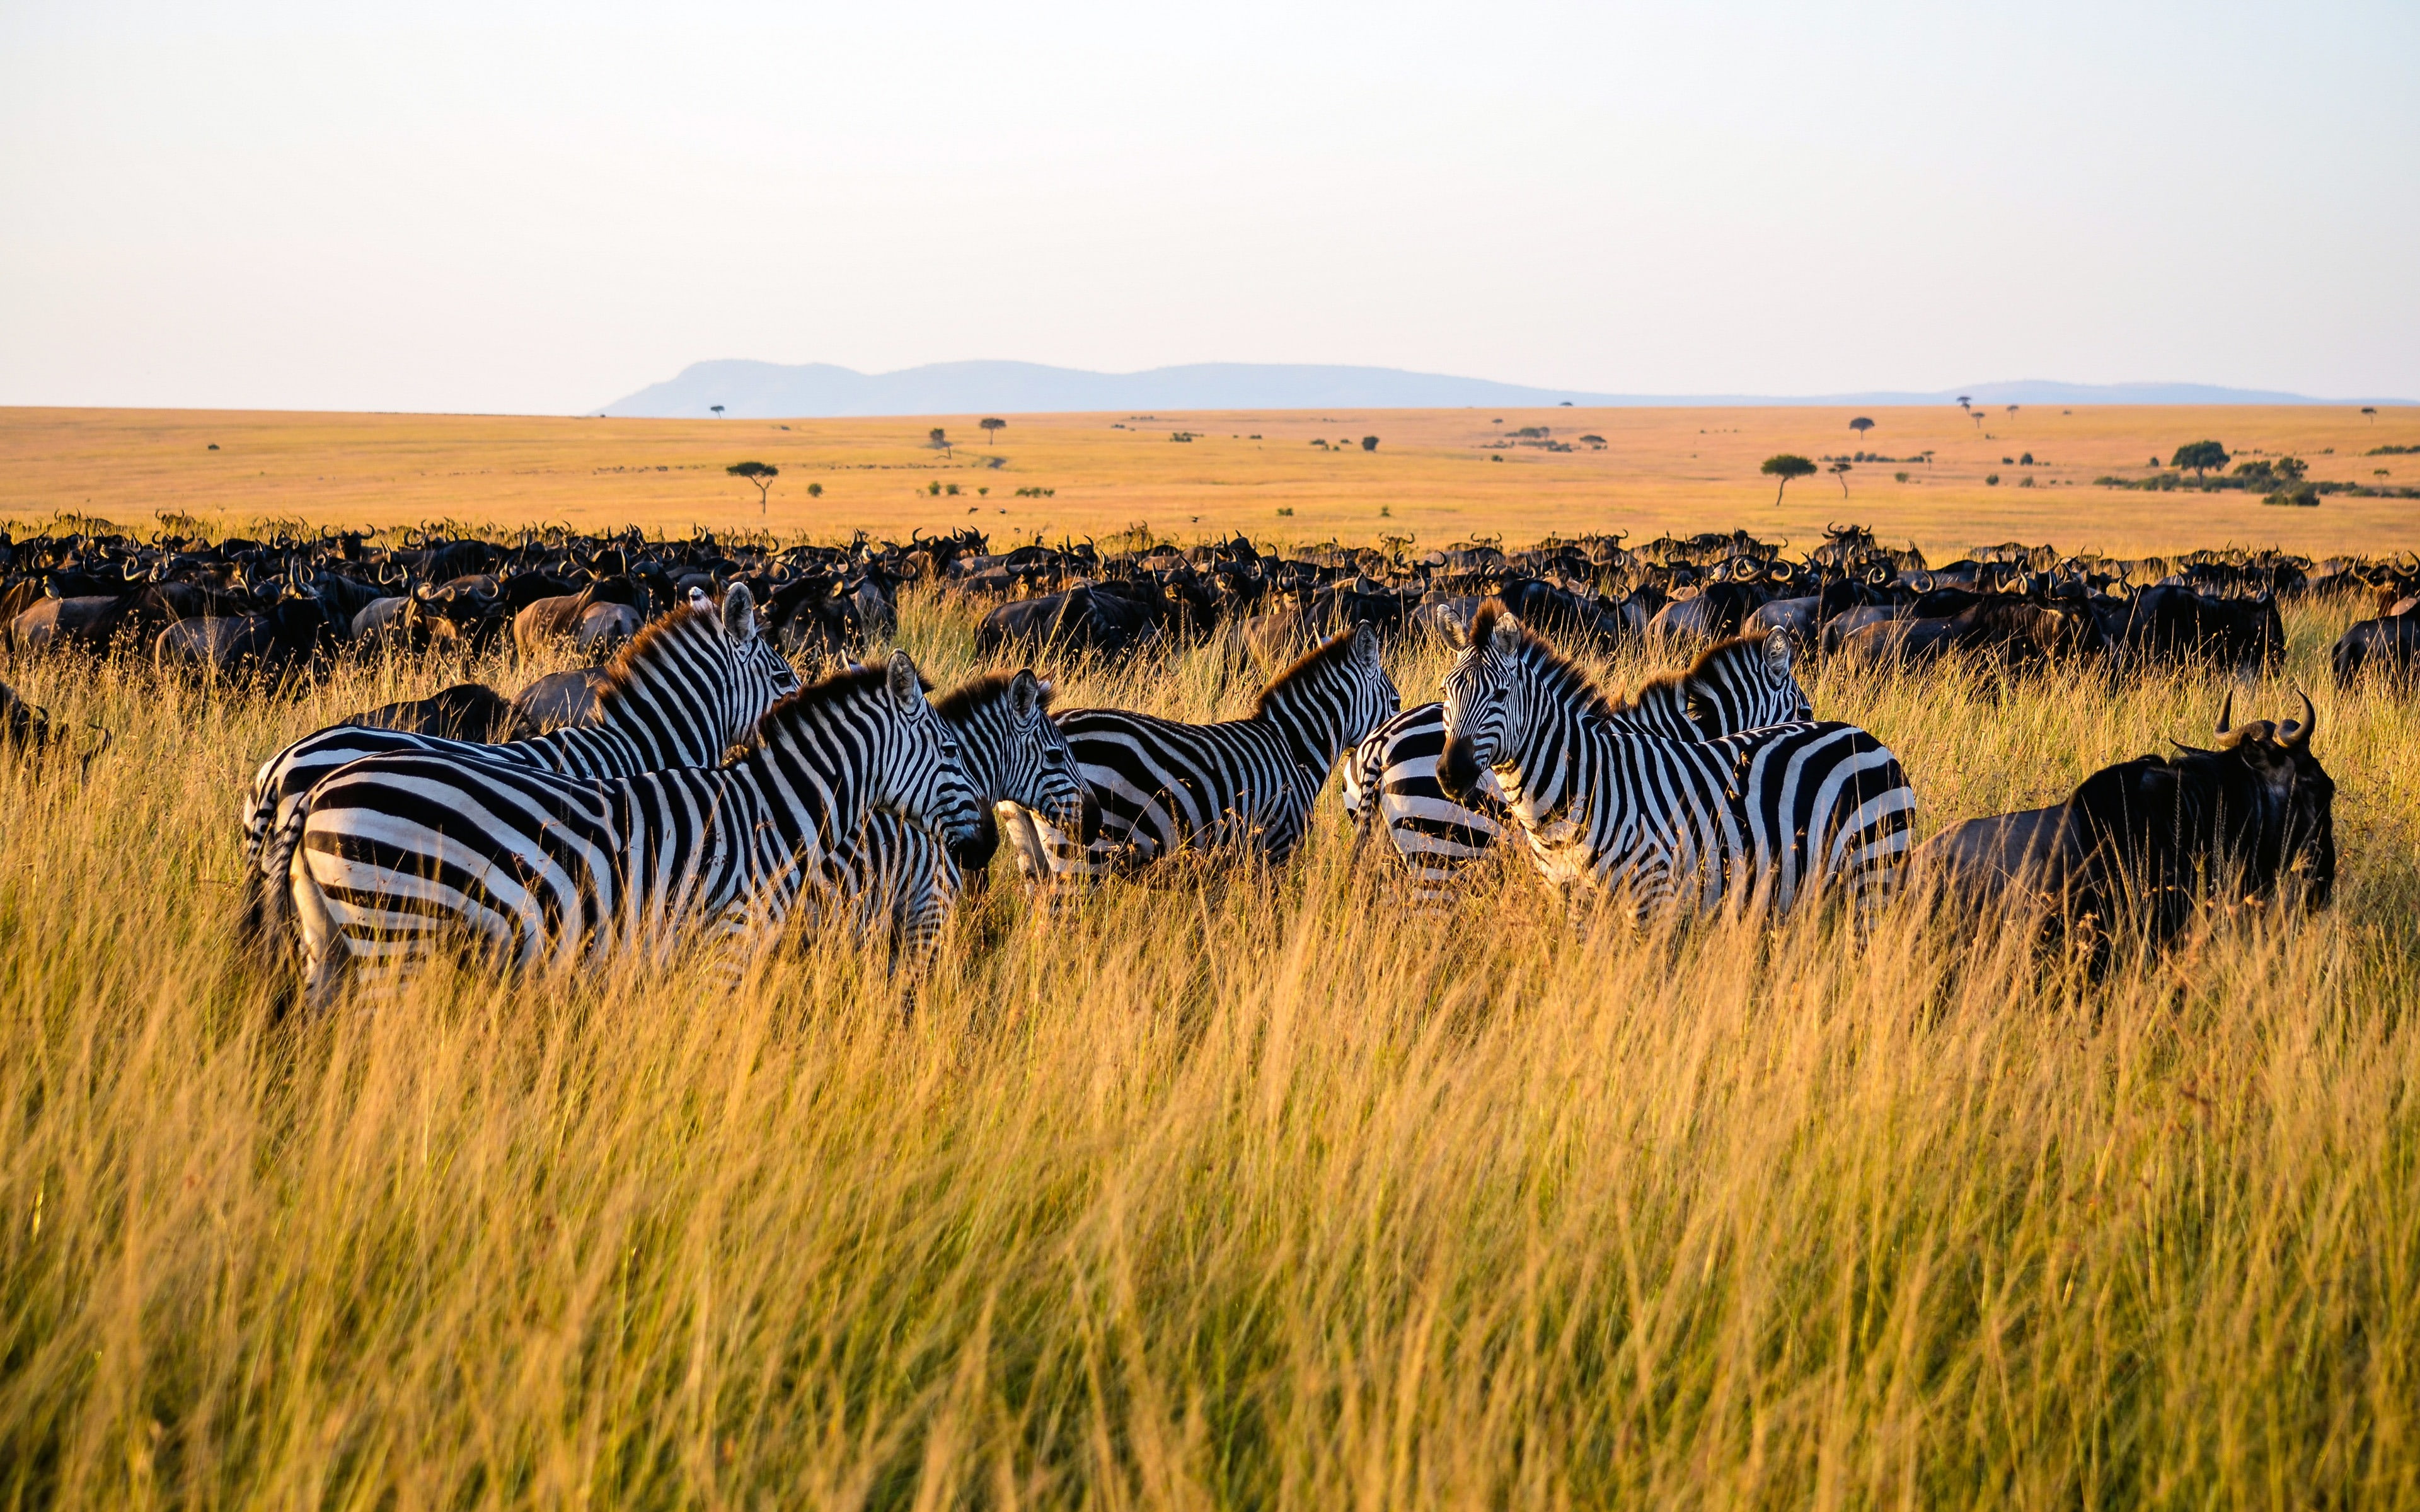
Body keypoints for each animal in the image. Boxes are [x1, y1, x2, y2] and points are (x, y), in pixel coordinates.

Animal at [286, 651, 981, 1009]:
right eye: (950, 750)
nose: (987, 848)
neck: (774, 814)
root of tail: (315, 789)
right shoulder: (728, 943)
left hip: (332, 940)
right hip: (394, 932)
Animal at [1438, 605, 1914, 926]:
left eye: (1500, 695)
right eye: (1447, 690)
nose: (1450, 773)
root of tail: (1867, 737)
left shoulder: (1654, 899)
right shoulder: (1574, 904)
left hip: (1873, 875)